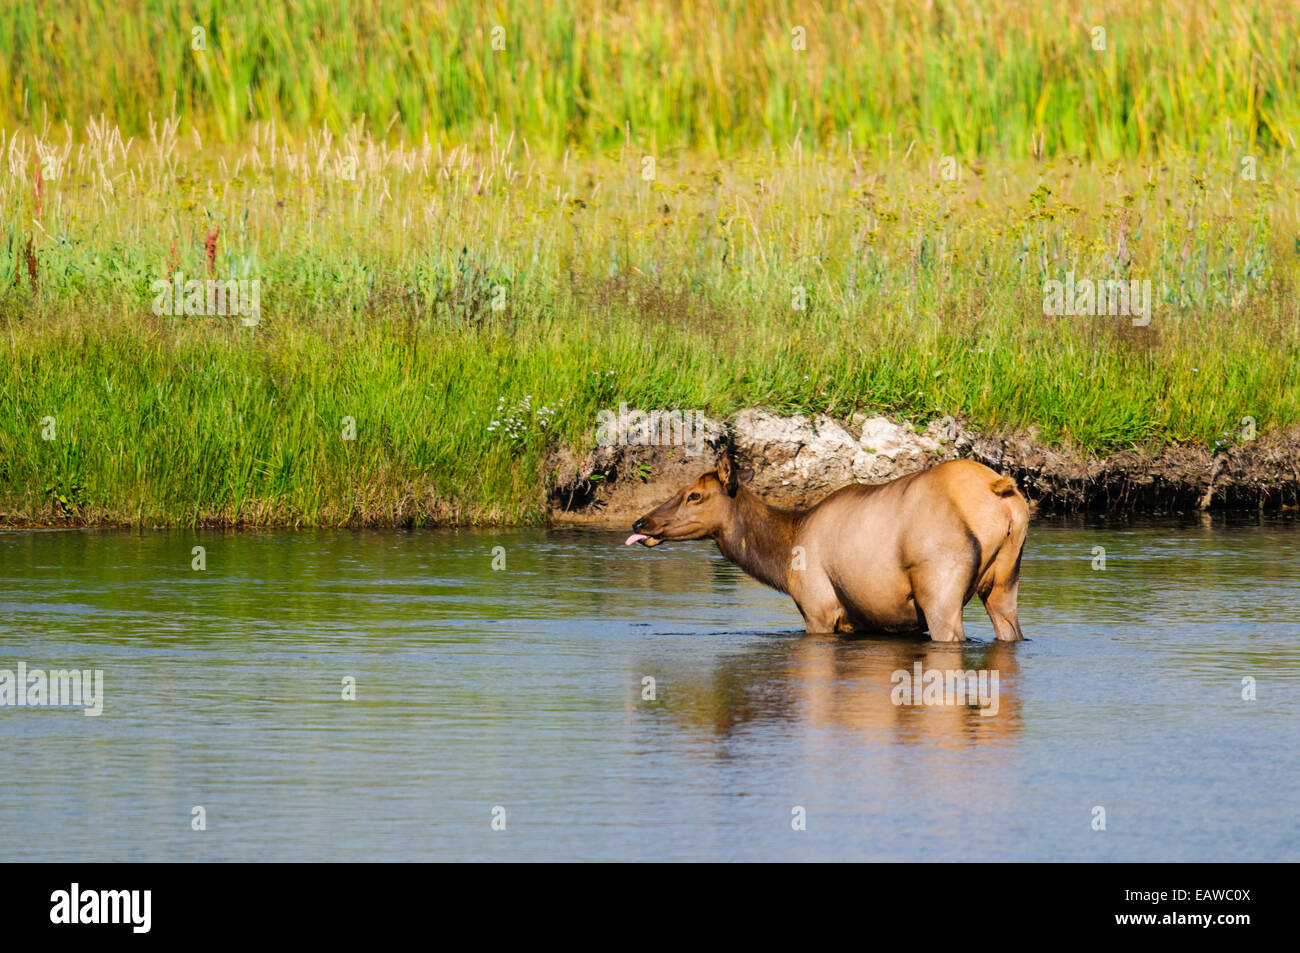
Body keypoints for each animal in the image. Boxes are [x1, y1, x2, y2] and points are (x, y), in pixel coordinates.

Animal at [625, 456, 1028, 642]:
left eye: (694, 495)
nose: (640, 523)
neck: (784, 552)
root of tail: (999, 490)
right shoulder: (885, 622)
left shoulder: (818, 608)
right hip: (1005, 583)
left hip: (939, 588)